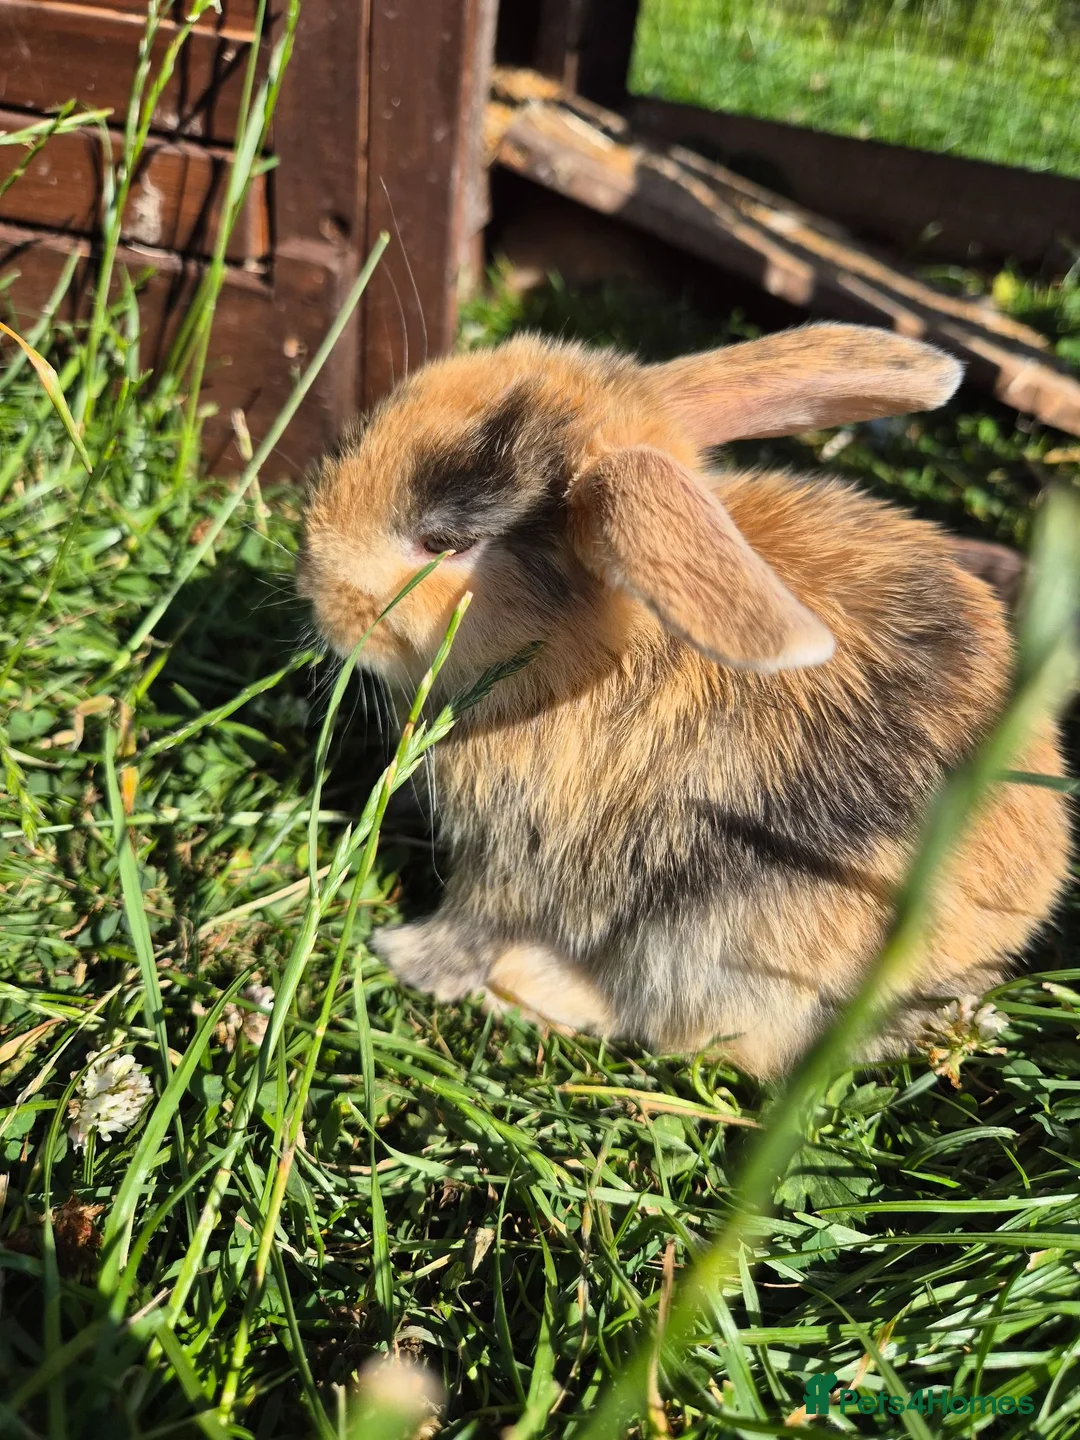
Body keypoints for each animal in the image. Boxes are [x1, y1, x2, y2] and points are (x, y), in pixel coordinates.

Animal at [297, 322, 1072, 1078]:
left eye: (443, 541)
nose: (314, 588)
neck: (597, 655)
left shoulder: (516, 855)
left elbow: (473, 922)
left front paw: (402, 955)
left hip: (709, 948)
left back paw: (530, 988)